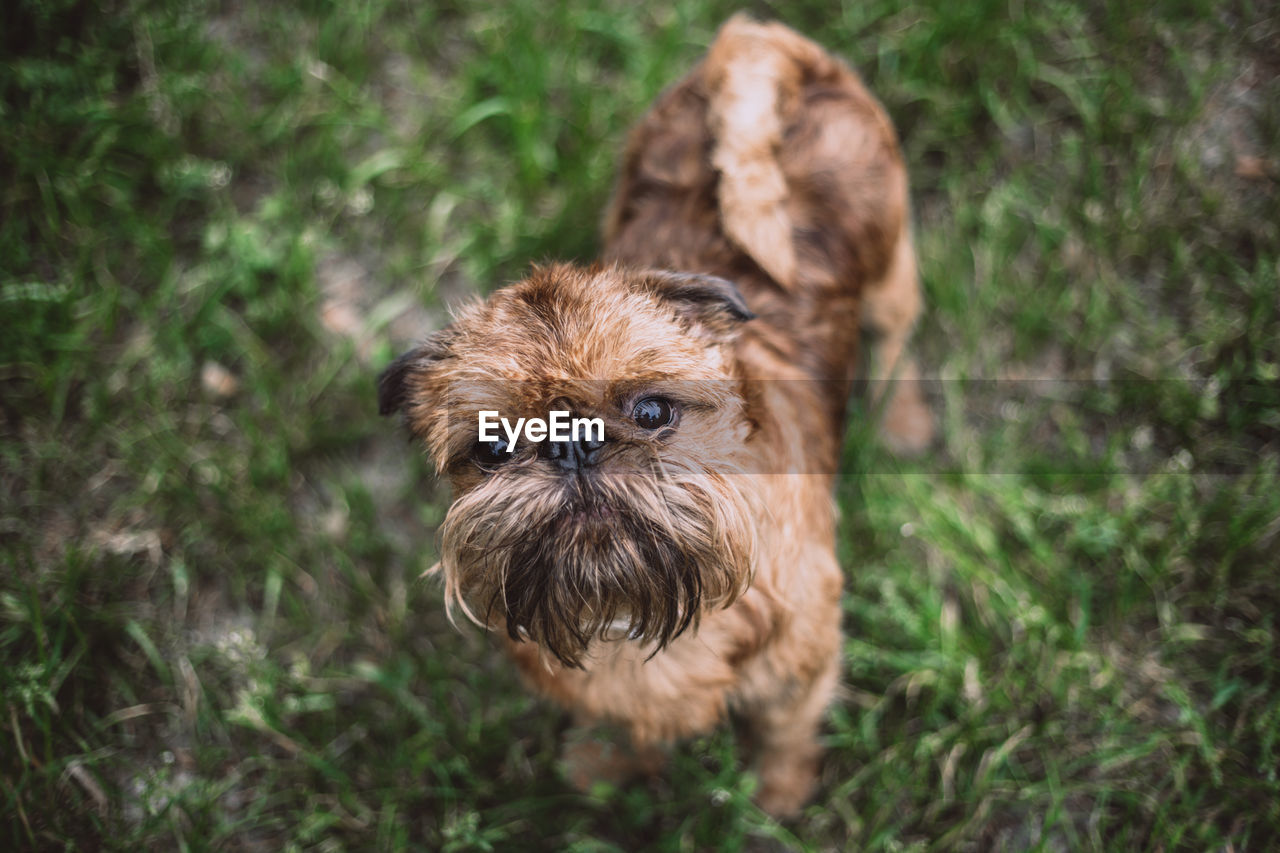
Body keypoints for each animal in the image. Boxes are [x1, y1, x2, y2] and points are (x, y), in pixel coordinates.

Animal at [378, 13, 931, 809]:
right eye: (491, 447)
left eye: (651, 410)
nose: (572, 443)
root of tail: (768, 43)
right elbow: (617, 727)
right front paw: (605, 768)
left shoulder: (803, 667)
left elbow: (785, 733)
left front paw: (778, 798)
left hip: (889, 264)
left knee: (896, 335)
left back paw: (901, 420)